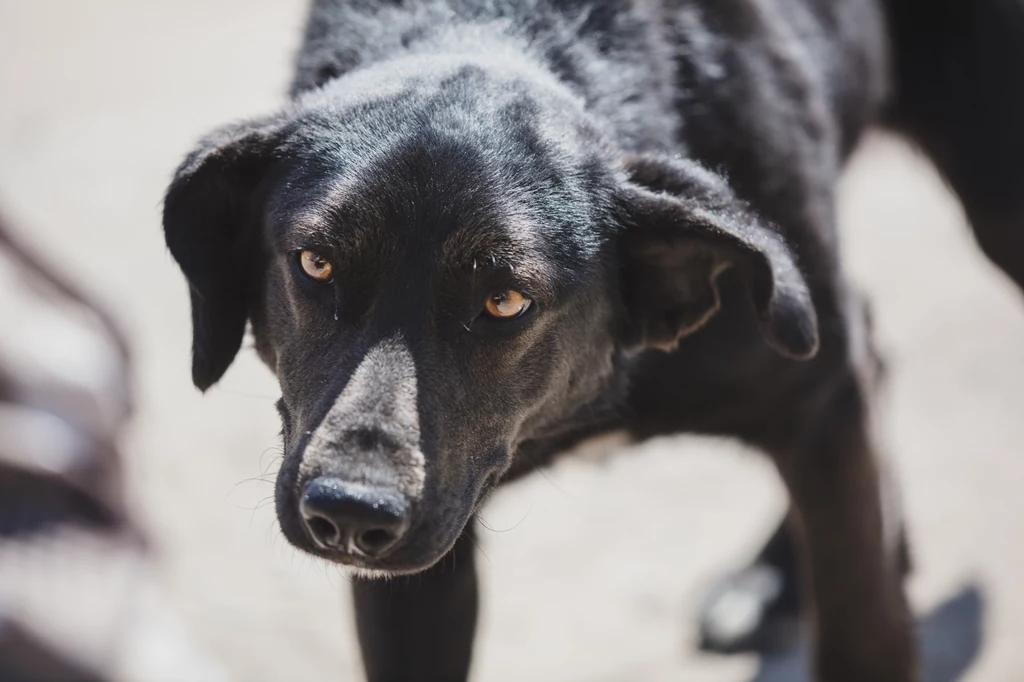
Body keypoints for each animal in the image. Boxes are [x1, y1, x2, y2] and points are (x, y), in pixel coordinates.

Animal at [161, 2, 1024, 675]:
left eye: (506, 300)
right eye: (316, 264)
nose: (350, 513)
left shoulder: (815, 389)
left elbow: (862, 621)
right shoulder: (421, 565)